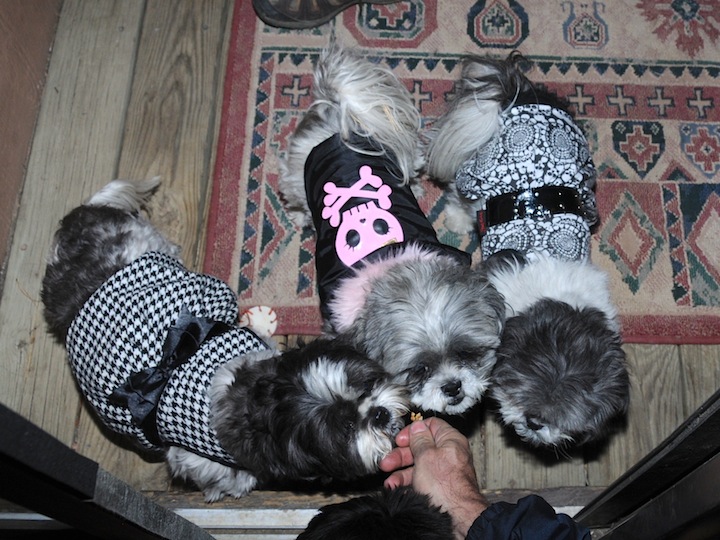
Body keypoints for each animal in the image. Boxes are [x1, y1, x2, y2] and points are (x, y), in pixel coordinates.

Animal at [40, 178, 410, 502]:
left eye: (365, 384)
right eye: (346, 428)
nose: (377, 413)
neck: (251, 400)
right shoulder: (193, 458)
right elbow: (220, 475)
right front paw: (235, 485)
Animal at [278, 45, 504, 418]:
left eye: (466, 353)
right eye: (419, 369)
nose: (453, 387)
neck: (390, 264)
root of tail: (342, 119)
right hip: (297, 177)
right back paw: (300, 216)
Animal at [424, 51, 628, 448]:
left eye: (573, 413)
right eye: (521, 385)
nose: (535, 422)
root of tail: (520, 95)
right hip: (477, 173)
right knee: (461, 195)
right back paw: (456, 218)